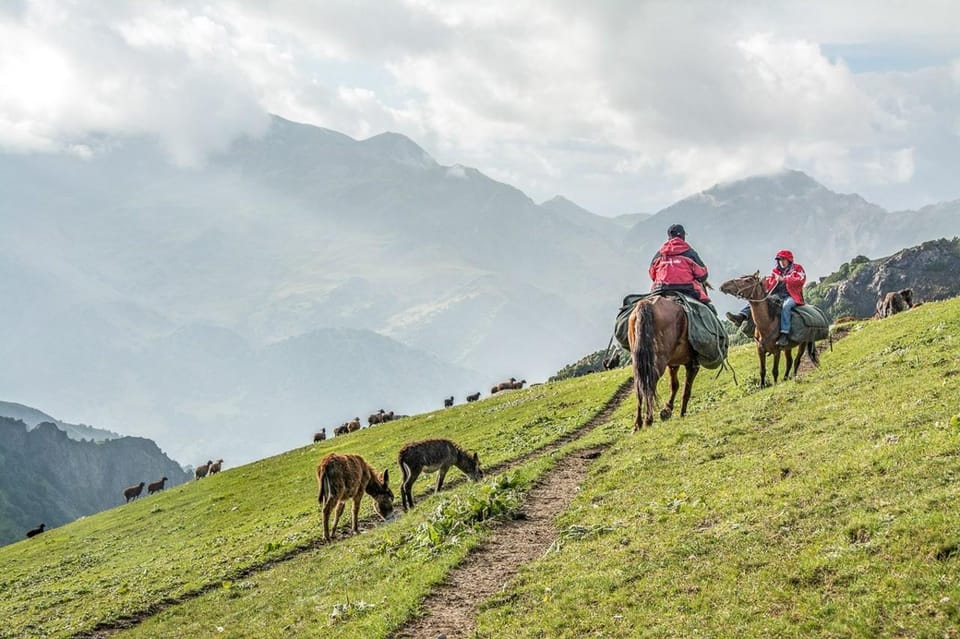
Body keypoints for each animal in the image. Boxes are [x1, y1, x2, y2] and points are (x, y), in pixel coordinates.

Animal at [624, 298, 696, 432]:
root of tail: (647, 304)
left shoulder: (673, 364)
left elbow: (674, 385)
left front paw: (667, 409)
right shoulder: (692, 364)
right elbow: (686, 389)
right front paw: (681, 413)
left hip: (638, 361)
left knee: (639, 387)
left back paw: (638, 424)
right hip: (659, 360)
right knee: (650, 384)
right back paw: (648, 420)